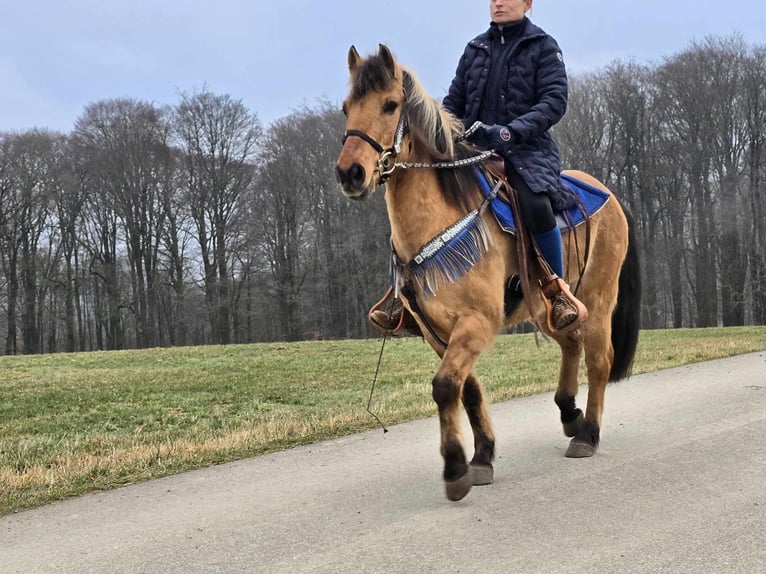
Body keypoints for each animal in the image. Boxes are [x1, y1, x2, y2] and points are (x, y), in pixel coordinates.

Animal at [336, 46, 640, 504]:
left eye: (389, 105)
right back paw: (569, 412)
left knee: (599, 359)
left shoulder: (477, 321)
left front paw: (456, 468)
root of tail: (609, 195)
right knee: (570, 343)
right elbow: (468, 389)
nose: (350, 172)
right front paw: (482, 456)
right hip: (547, 306)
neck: (441, 218)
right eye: (346, 108)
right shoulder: (437, 331)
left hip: (599, 297)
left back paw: (587, 433)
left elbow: (445, 387)